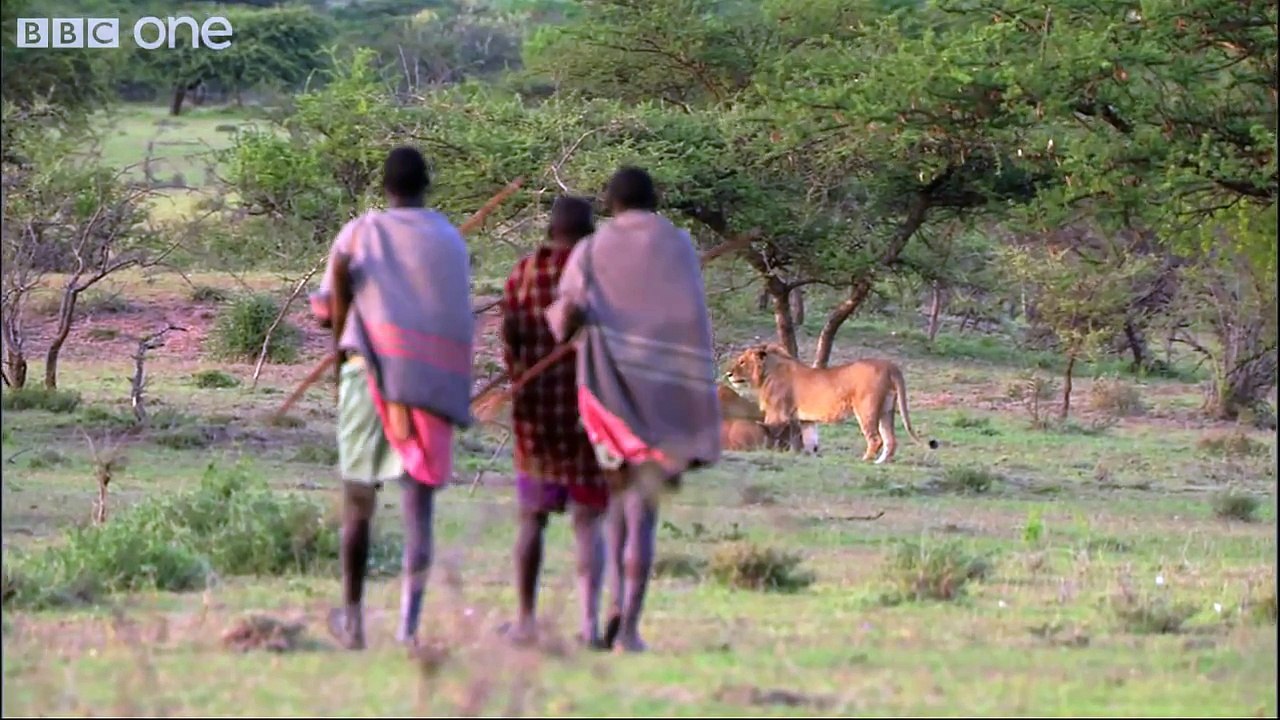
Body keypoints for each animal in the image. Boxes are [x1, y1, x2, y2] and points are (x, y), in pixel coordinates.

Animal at [724, 344, 938, 464]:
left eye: (741, 361)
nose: (728, 374)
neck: (766, 372)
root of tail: (890, 365)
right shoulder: (806, 420)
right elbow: (808, 440)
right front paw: (807, 457)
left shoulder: (777, 414)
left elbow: (771, 432)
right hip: (887, 409)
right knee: (891, 440)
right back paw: (881, 462)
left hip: (866, 409)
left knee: (876, 439)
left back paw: (865, 460)